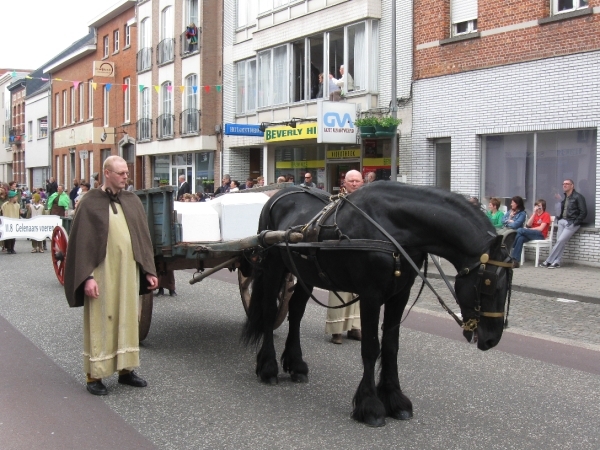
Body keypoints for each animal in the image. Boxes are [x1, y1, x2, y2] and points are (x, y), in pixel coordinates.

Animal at [241, 182, 512, 426]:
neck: (393, 229)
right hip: (273, 266)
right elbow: (371, 348)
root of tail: (281, 193)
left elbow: (391, 347)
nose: (492, 339)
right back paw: (268, 367)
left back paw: (296, 365)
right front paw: (370, 406)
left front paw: (395, 400)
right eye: (489, 284)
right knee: (269, 312)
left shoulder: (399, 295)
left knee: (296, 311)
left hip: (305, 273)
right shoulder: (370, 295)